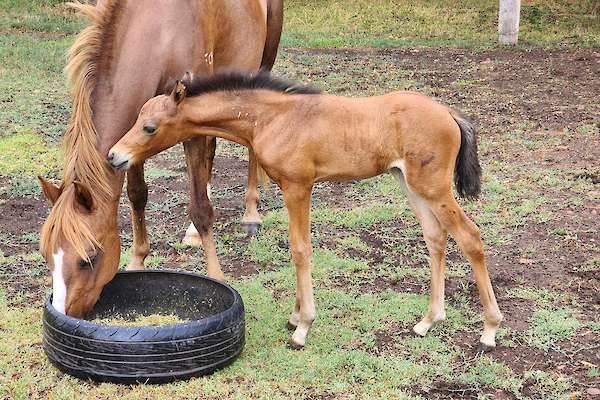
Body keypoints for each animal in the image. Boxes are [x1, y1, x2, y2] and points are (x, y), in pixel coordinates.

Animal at [37, 0, 284, 318]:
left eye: (89, 258)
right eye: (47, 256)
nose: (64, 315)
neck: (161, 29)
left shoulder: (187, 123)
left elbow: (200, 209)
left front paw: (216, 275)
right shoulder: (134, 137)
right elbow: (136, 194)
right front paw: (137, 260)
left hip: (262, 63)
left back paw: (251, 213)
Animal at [108, 72, 502, 350]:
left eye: (149, 127)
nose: (115, 156)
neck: (273, 118)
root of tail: (450, 113)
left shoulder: (299, 186)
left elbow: (300, 249)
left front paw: (302, 327)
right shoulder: (288, 187)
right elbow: (296, 247)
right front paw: (295, 315)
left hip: (434, 187)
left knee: (470, 236)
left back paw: (489, 330)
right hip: (410, 183)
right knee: (436, 237)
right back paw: (428, 321)